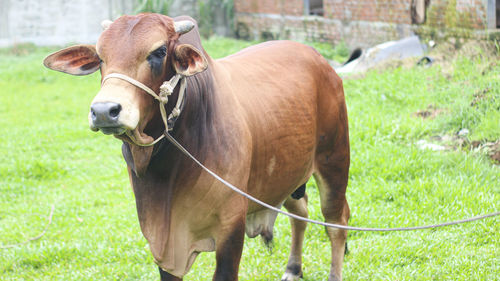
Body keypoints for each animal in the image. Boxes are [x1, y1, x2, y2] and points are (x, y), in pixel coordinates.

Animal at [44, 14, 352, 280]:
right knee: (300, 212)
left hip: (334, 162)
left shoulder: (231, 226)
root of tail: (319, 59)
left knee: (336, 223)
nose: (104, 111)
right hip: (286, 173)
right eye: (100, 57)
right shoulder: (161, 241)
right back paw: (293, 268)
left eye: (158, 52)